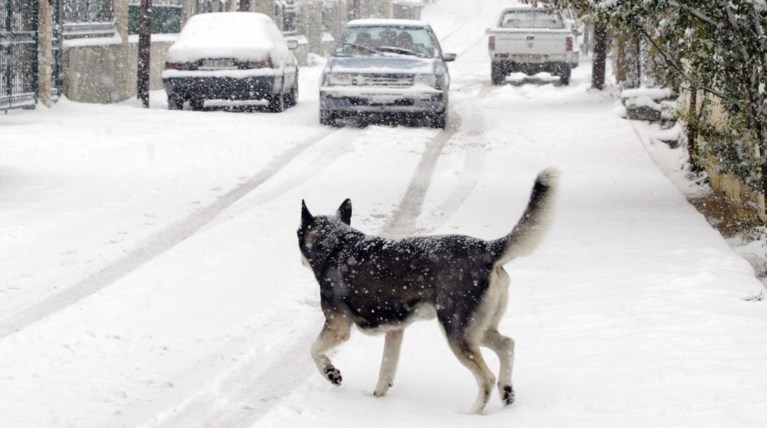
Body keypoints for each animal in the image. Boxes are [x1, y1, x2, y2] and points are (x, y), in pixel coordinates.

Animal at [298, 168, 560, 414]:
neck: (336, 244)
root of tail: (488, 248)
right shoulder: (395, 331)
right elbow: (386, 371)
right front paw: (377, 399)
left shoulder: (338, 327)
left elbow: (314, 350)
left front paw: (331, 373)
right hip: (477, 330)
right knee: (507, 345)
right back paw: (507, 392)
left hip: (456, 332)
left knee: (486, 377)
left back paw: (471, 412)